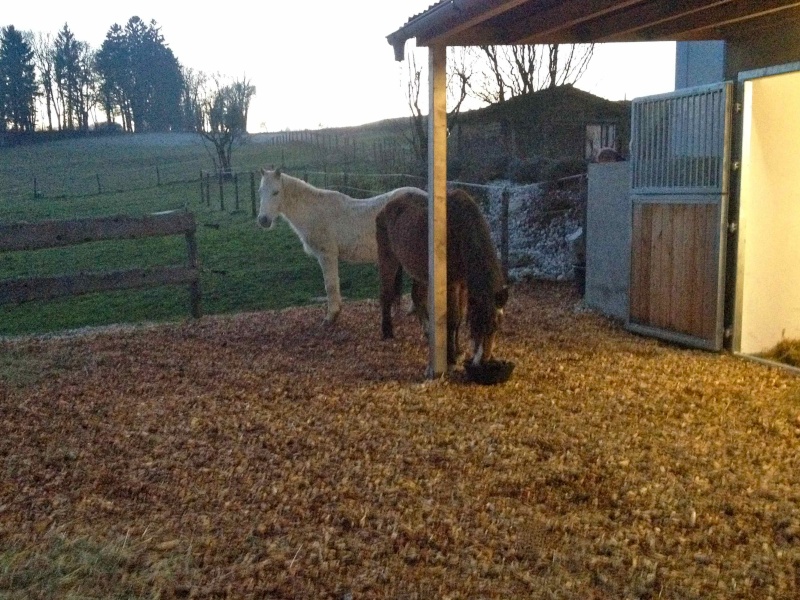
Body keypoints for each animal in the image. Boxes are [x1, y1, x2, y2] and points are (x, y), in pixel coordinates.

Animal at [260, 169, 428, 324]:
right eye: (260, 191)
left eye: (276, 192)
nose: (263, 220)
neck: (315, 212)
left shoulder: (327, 255)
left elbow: (330, 285)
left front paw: (331, 316)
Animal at [376, 188, 506, 368]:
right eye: (477, 324)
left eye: (496, 326)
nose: (483, 360)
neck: (460, 229)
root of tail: (386, 206)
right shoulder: (451, 283)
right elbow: (453, 318)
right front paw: (451, 357)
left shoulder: (463, 285)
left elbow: (459, 318)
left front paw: (458, 351)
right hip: (388, 260)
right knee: (386, 295)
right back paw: (387, 331)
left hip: (420, 270)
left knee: (417, 296)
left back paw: (427, 331)